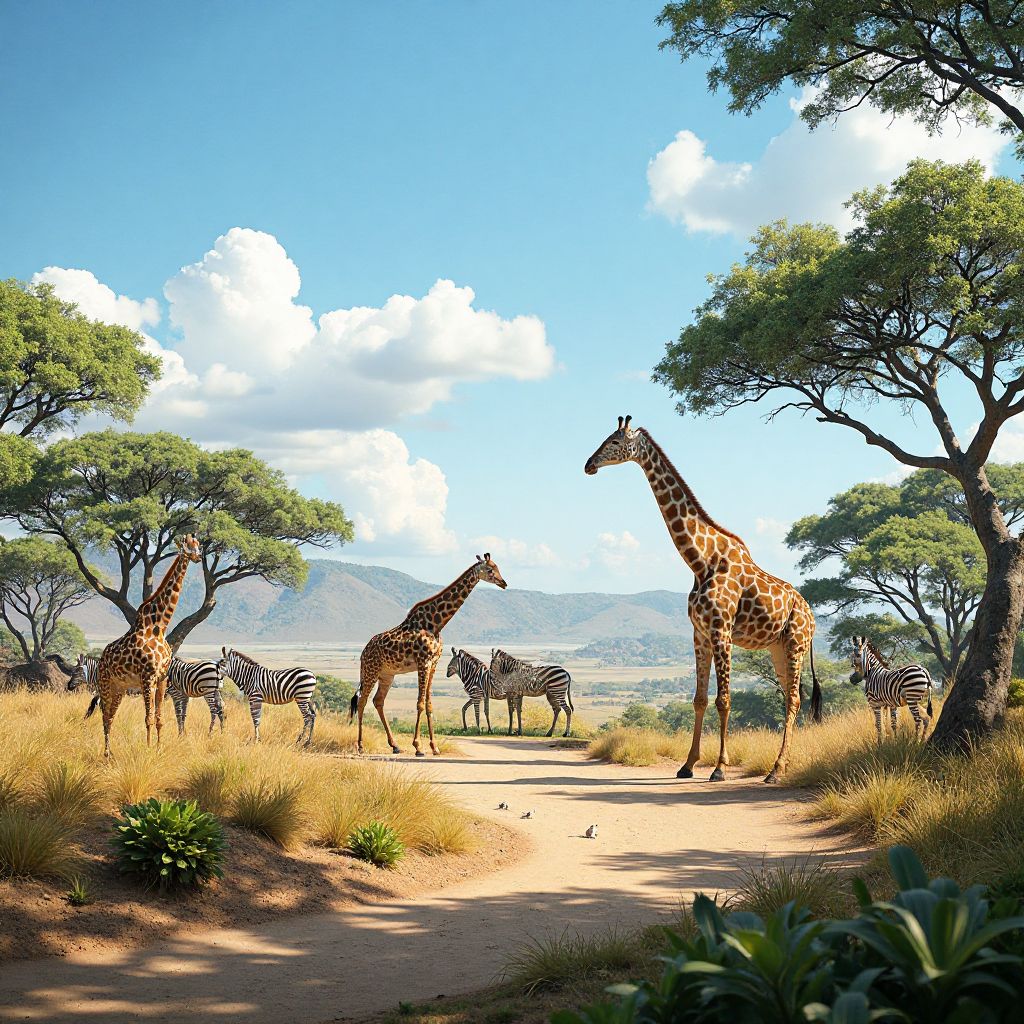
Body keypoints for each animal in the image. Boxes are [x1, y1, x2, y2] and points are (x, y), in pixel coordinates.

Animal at [68, 653, 226, 735]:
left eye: (76, 672)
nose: (68, 687)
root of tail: (217, 665)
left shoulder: (176, 693)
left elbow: (179, 713)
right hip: (215, 690)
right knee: (221, 708)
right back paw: (221, 732)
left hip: (208, 690)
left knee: (214, 710)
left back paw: (211, 732)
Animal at [94, 534, 203, 757]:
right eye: (187, 546)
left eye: (199, 544)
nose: (198, 557)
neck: (159, 625)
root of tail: (101, 658)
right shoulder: (148, 677)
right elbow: (148, 717)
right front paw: (148, 749)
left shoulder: (162, 678)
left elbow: (160, 718)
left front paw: (159, 748)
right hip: (105, 682)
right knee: (104, 717)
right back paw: (107, 754)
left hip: (120, 687)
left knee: (111, 716)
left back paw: (110, 753)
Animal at [350, 554, 508, 756]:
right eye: (490, 569)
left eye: (497, 567)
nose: (504, 583)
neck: (436, 624)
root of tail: (364, 651)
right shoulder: (423, 662)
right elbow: (419, 703)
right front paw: (418, 747)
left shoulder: (433, 664)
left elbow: (429, 704)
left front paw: (434, 747)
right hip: (371, 671)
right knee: (362, 701)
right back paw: (361, 745)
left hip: (387, 674)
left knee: (378, 701)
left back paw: (395, 745)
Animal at [585, 417, 820, 783]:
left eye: (613, 441)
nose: (588, 465)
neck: (700, 559)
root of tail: (812, 616)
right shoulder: (699, 633)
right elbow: (699, 699)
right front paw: (687, 764)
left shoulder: (721, 631)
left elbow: (724, 700)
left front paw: (719, 768)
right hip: (777, 647)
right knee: (790, 697)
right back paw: (780, 766)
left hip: (795, 643)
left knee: (794, 699)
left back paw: (775, 771)